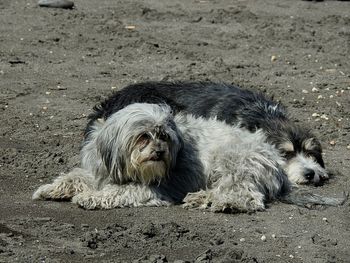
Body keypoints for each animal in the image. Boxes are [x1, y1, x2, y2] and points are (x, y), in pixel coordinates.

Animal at [32, 103, 344, 212]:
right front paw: (51, 188)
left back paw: (213, 201)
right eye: (143, 136)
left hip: (232, 162)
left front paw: (91, 197)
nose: (160, 152)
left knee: (243, 197)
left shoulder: (156, 187)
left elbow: (120, 192)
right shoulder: (96, 170)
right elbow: (75, 176)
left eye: (165, 136)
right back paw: (202, 197)